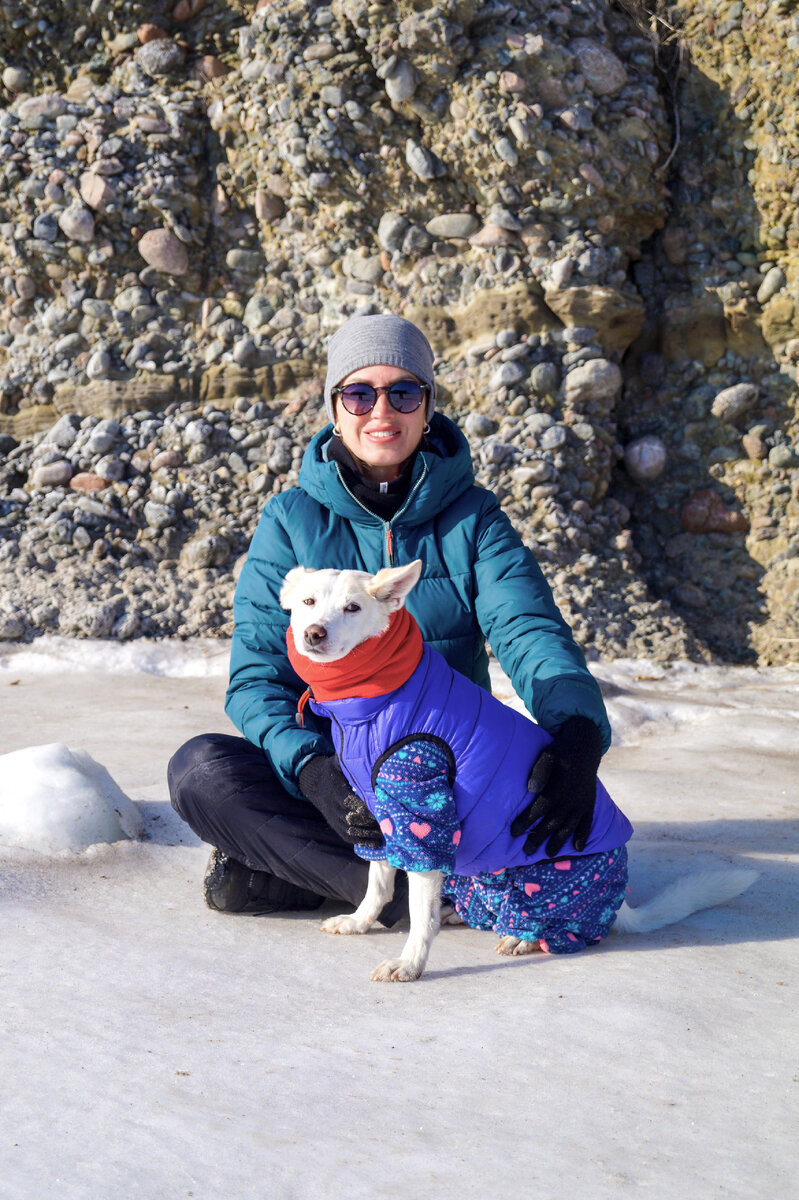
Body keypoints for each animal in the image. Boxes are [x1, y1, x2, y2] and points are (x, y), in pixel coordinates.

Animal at [280, 560, 757, 982]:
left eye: (353, 608)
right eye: (308, 601)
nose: (313, 633)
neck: (369, 698)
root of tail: (620, 901)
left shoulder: (422, 815)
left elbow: (419, 913)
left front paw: (410, 963)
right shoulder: (377, 813)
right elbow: (378, 885)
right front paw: (359, 922)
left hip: (548, 875)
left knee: (560, 927)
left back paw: (525, 938)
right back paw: (465, 915)